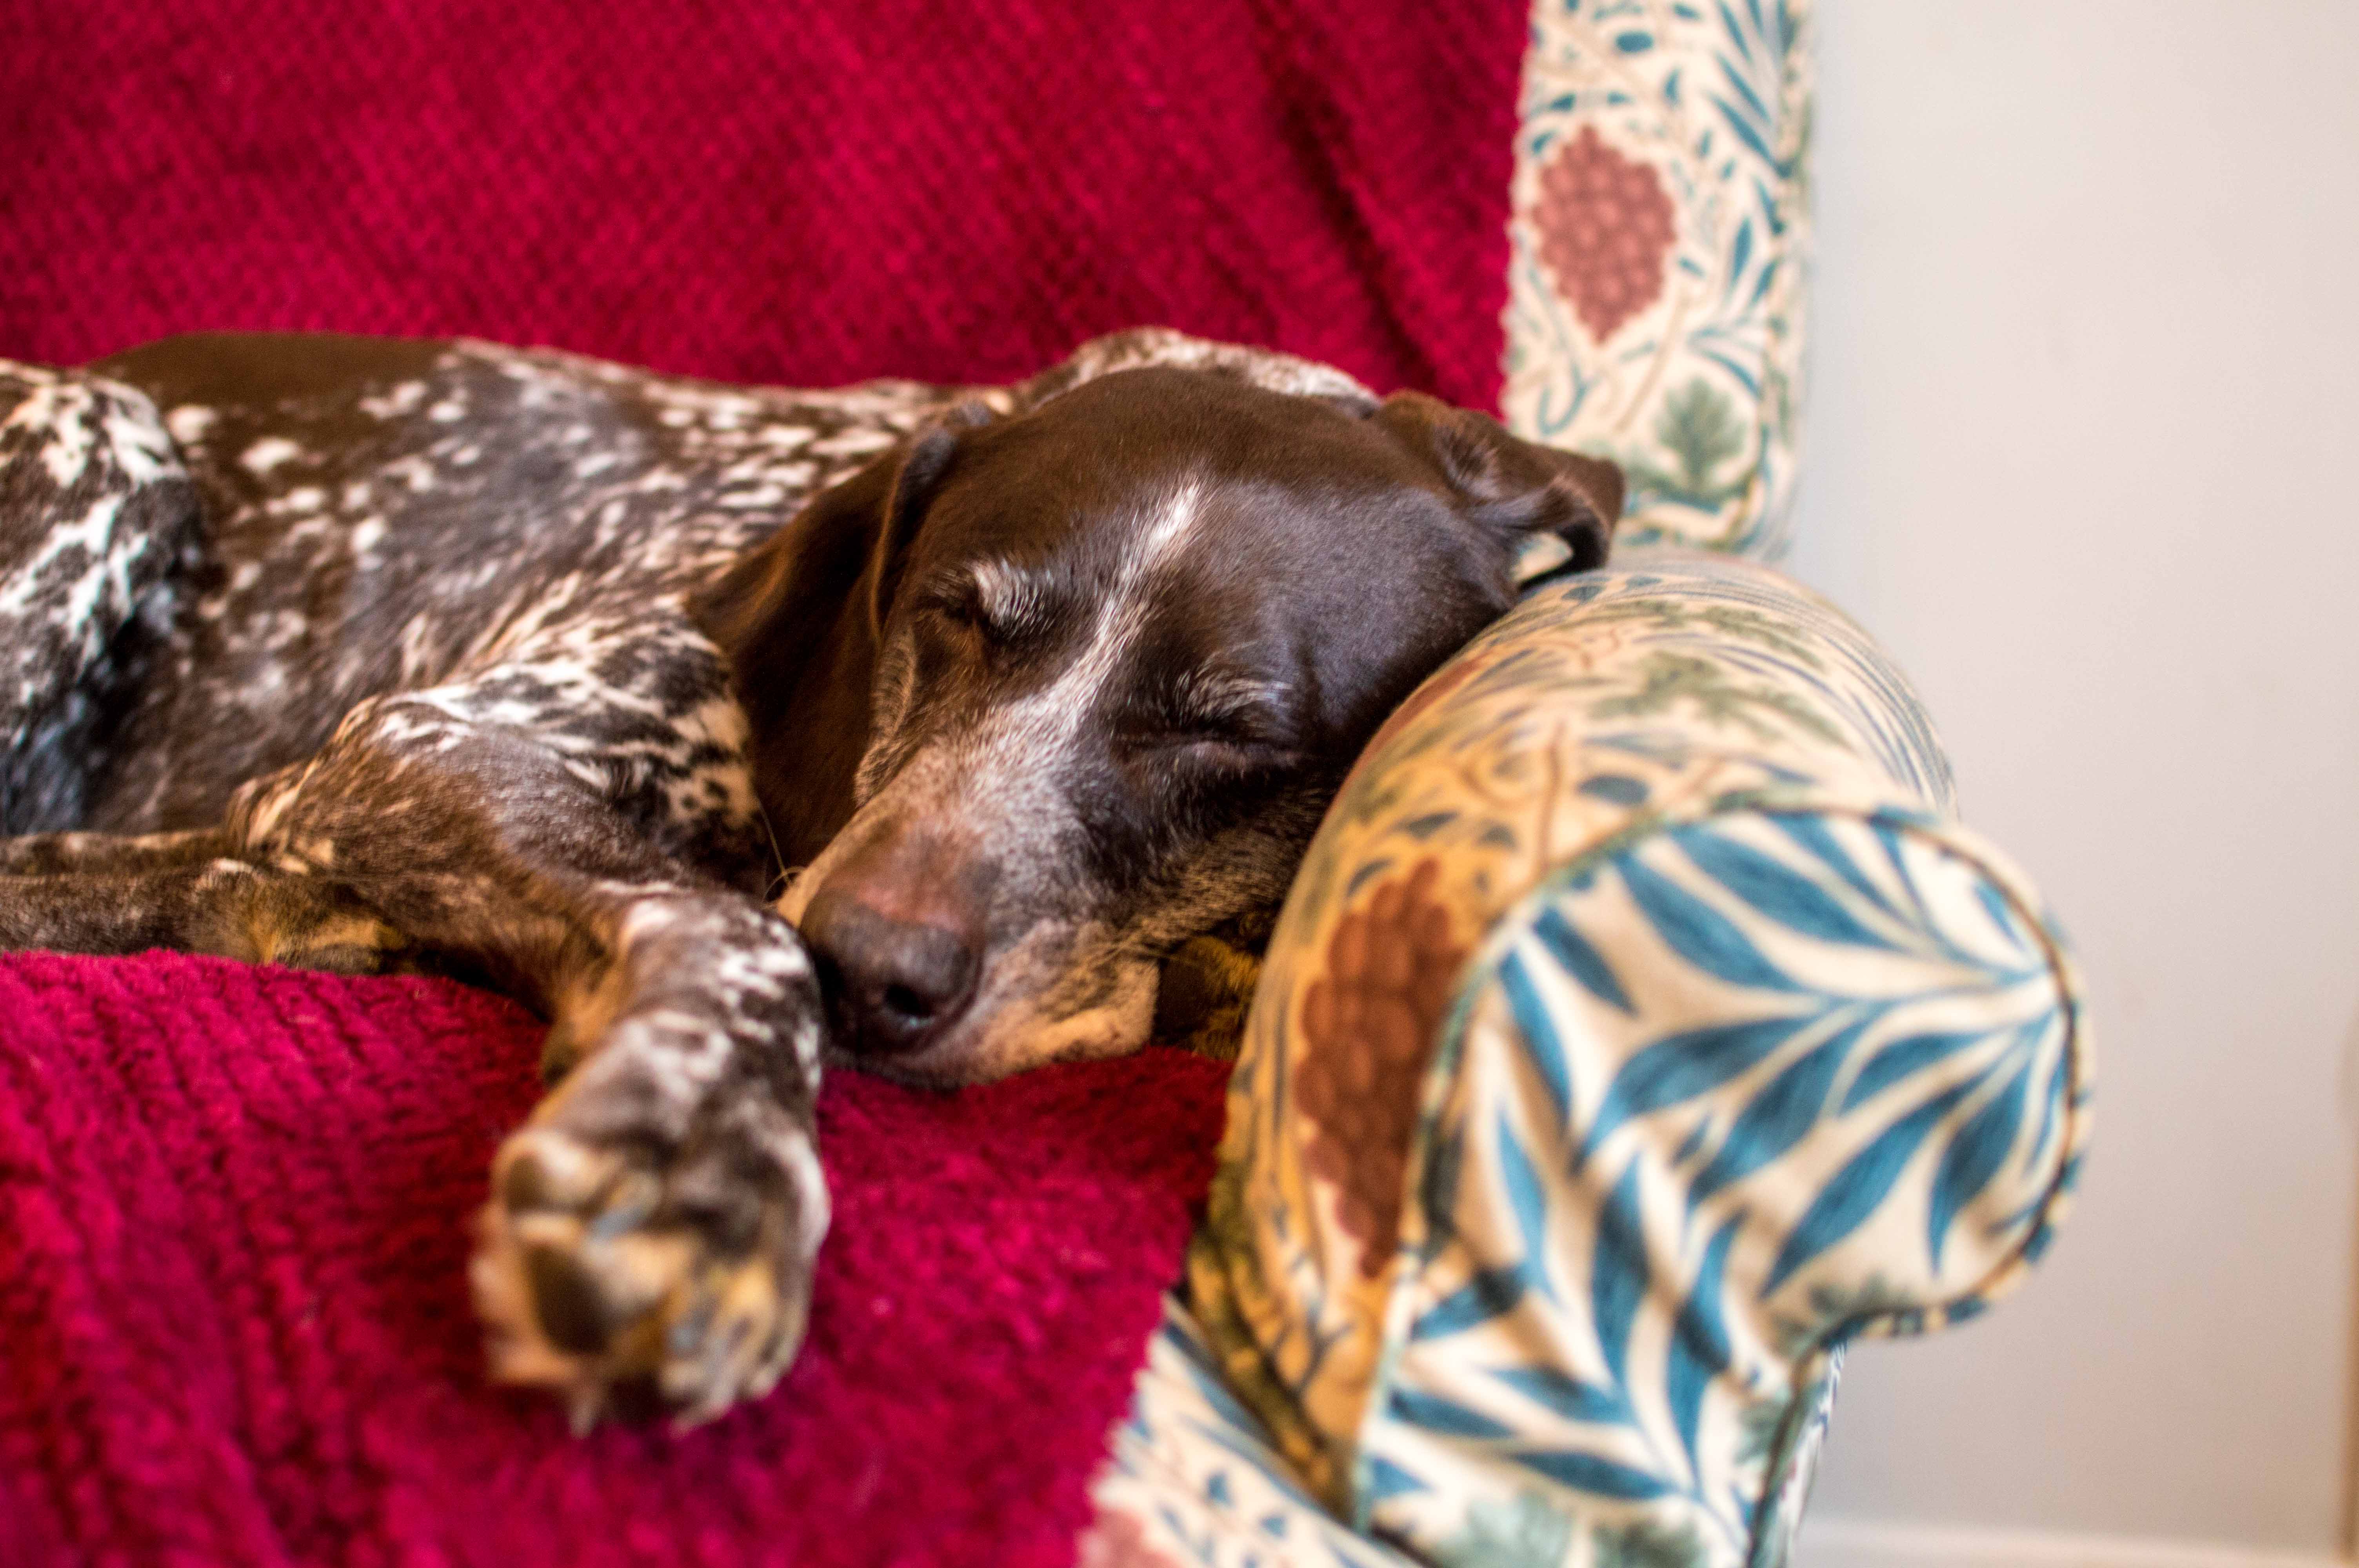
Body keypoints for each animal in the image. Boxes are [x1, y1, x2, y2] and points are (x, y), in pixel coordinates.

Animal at [0, 330, 1623, 1434]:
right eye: (951, 616)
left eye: (1228, 731)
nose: (868, 965)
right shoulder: (422, 740)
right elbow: (732, 926)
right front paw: (697, 1169)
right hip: (110, 436)